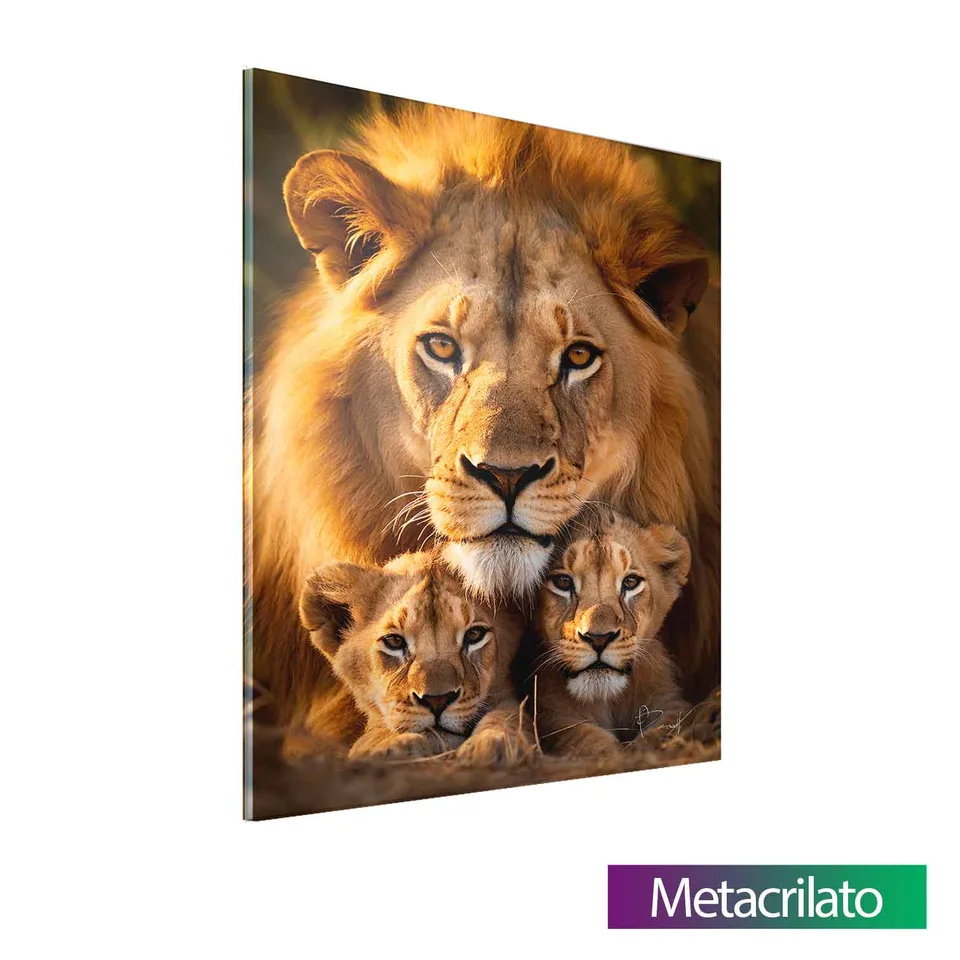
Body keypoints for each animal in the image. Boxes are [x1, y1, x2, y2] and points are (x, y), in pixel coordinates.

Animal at [298, 550, 531, 764]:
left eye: (474, 634)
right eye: (394, 641)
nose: (437, 700)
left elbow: (510, 714)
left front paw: (494, 742)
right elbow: (371, 735)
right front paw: (391, 746)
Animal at [531, 507, 691, 758]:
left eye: (631, 582)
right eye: (563, 582)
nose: (599, 638)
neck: (607, 700)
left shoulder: (671, 702)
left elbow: (665, 731)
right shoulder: (550, 713)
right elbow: (584, 738)